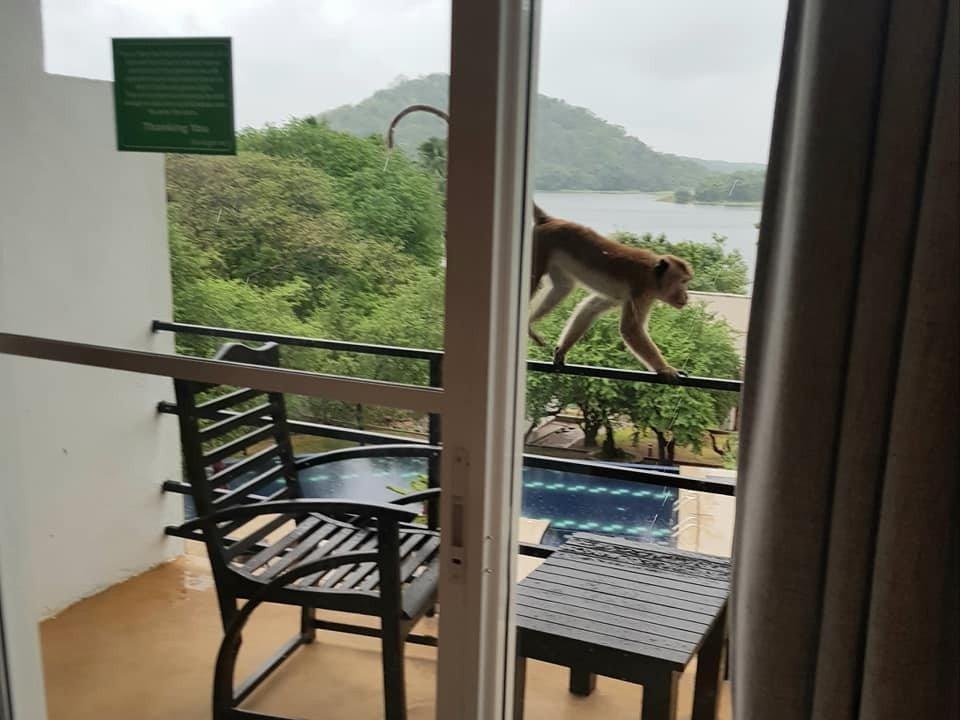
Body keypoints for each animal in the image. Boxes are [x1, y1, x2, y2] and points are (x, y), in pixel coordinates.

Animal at [529, 204, 692, 380]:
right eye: (682, 282)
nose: (686, 296)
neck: (652, 274)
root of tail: (549, 220)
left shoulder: (620, 296)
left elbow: (589, 308)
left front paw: (562, 351)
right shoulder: (641, 292)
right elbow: (631, 329)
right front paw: (666, 369)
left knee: (562, 287)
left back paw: (528, 325)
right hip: (540, 246)